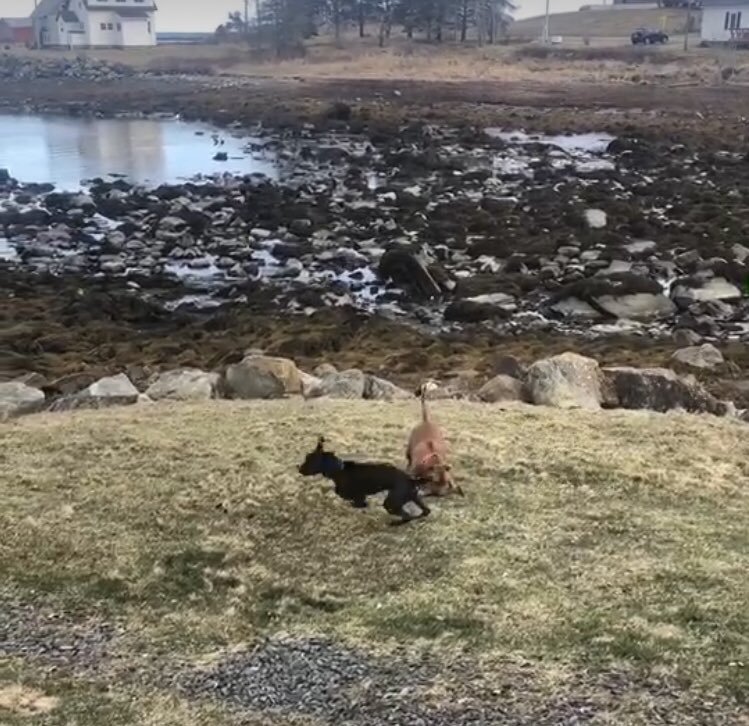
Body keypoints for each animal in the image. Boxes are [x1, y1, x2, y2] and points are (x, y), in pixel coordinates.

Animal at [296, 438, 430, 524]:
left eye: (310, 460)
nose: (299, 469)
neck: (339, 469)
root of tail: (411, 479)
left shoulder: (357, 495)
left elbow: (354, 501)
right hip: (413, 497)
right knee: (425, 511)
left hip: (391, 502)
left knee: (407, 516)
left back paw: (394, 523)